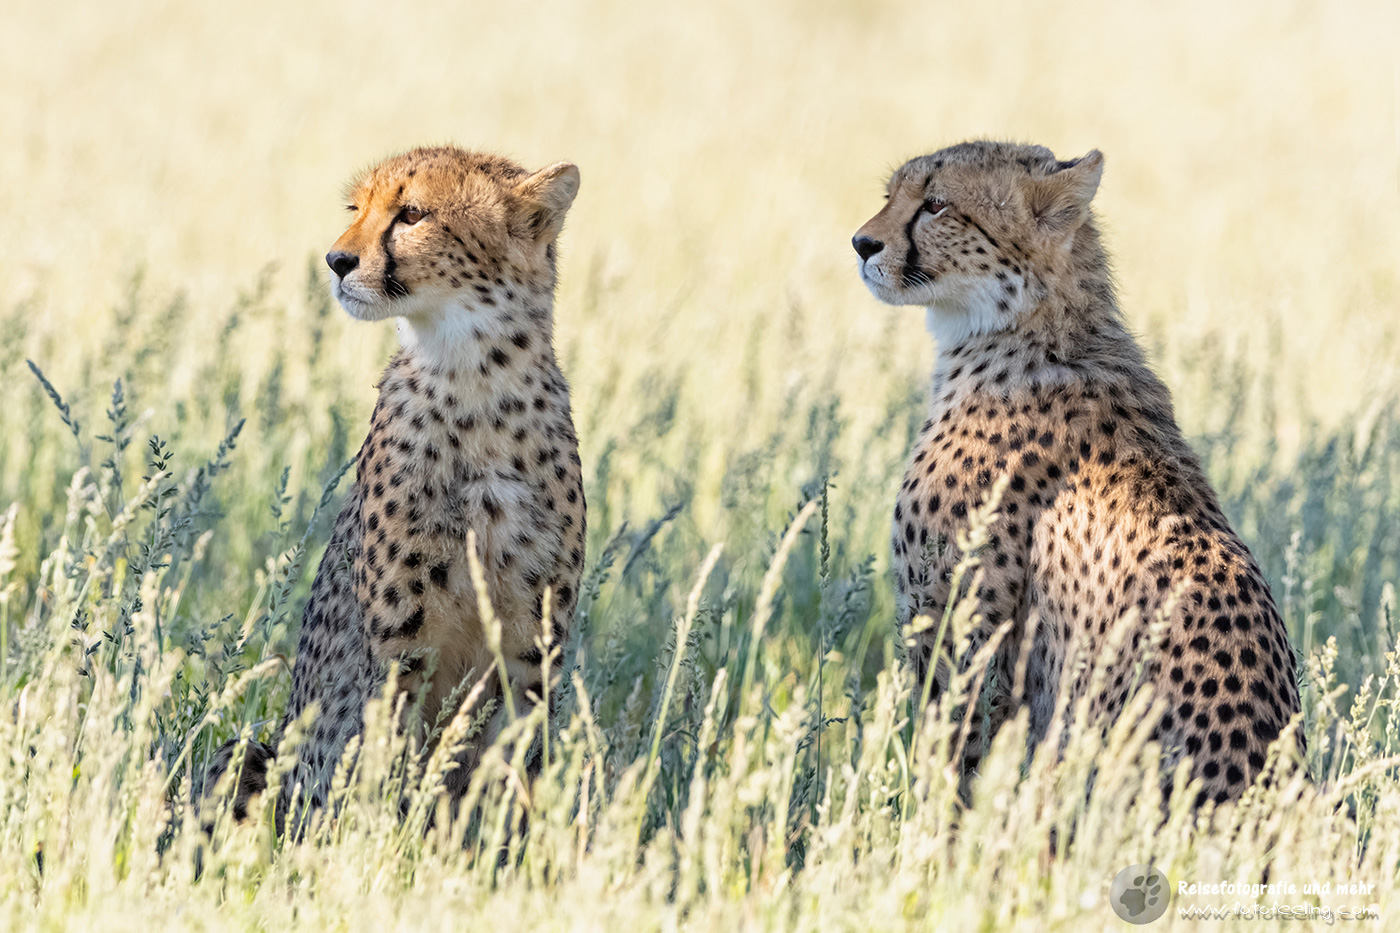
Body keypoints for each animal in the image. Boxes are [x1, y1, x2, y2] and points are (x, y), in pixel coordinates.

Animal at [205, 146, 587, 832]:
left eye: (412, 213)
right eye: (356, 208)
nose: (336, 260)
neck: (476, 383)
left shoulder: (529, 654)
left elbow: (505, 782)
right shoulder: (400, 653)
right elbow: (389, 771)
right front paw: (381, 845)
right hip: (252, 754)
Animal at [852, 140, 1303, 808]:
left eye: (936, 205)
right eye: (891, 194)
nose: (862, 244)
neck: (1027, 332)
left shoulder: (960, 633)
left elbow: (951, 770)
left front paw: (919, 835)